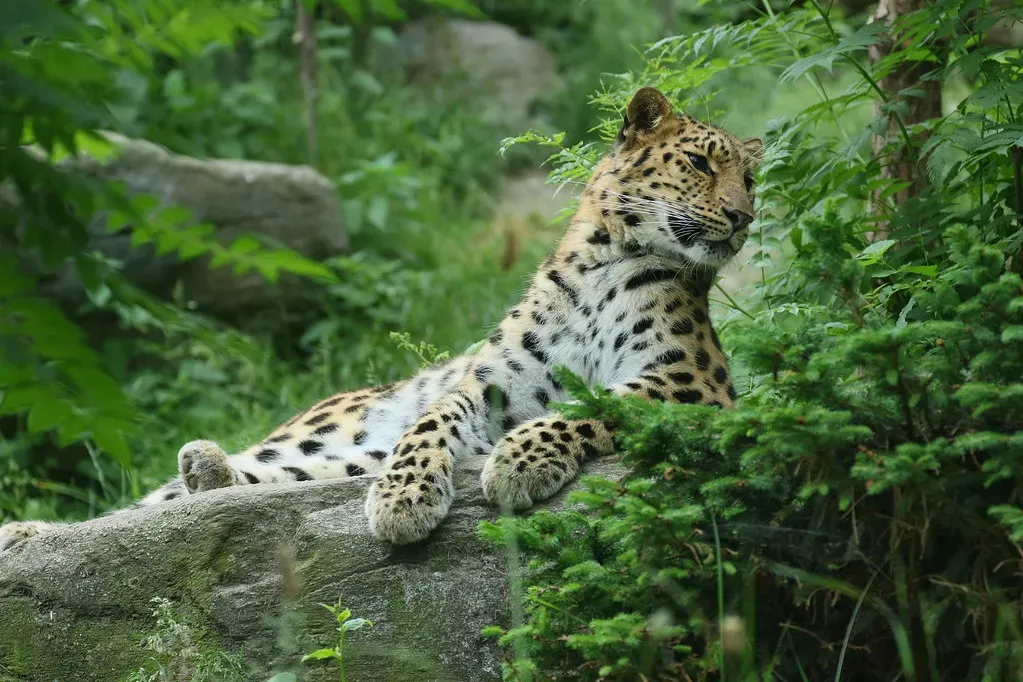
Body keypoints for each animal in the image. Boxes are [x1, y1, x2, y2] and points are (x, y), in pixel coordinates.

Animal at [0, 87, 761, 550]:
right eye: (699, 164)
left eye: (750, 180)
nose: (742, 216)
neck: (611, 258)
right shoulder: (494, 384)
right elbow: (433, 419)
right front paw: (404, 498)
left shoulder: (694, 387)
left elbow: (594, 405)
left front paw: (517, 462)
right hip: (309, 433)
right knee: (141, 508)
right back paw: (35, 534)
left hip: (325, 457)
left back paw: (202, 474)